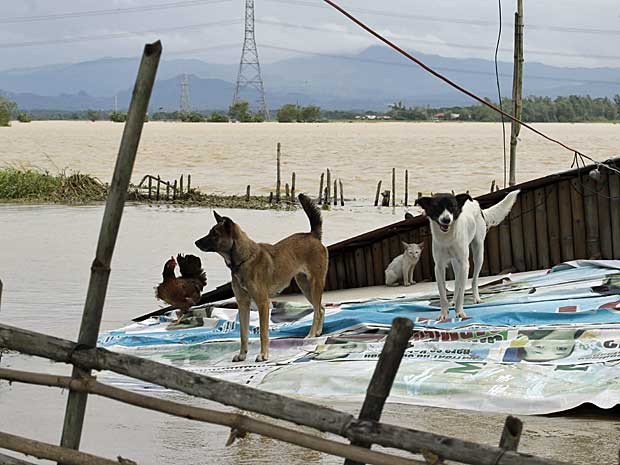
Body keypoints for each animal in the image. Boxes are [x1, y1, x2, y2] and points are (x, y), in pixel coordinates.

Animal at [195, 194, 330, 360]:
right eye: (210, 232)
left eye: (215, 234)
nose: (196, 242)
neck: (243, 260)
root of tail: (312, 235)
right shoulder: (243, 304)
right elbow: (243, 334)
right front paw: (242, 355)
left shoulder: (263, 303)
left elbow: (263, 333)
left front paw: (263, 354)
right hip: (304, 286)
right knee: (321, 308)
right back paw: (318, 332)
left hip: (315, 284)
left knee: (317, 311)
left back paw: (311, 335)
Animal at [414, 190, 520, 320]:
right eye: (436, 207)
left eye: (453, 207)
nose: (446, 220)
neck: (448, 237)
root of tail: (476, 203)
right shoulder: (439, 267)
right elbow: (443, 293)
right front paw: (444, 313)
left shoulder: (465, 265)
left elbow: (461, 291)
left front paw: (460, 312)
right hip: (455, 262)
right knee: (457, 282)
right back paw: (453, 301)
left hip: (478, 253)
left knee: (473, 280)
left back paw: (476, 298)